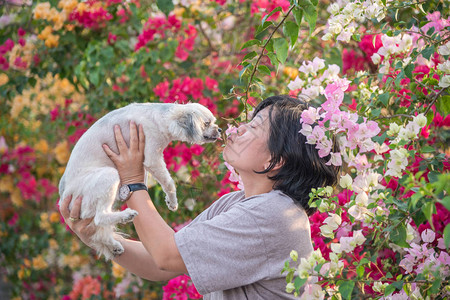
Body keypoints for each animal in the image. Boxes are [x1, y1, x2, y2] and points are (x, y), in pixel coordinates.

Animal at [59, 102, 221, 260]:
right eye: (206, 123)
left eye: (214, 122)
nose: (219, 129)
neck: (162, 118)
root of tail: (63, 198)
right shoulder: (153, 159)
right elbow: (169, 183)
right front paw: (173, 201)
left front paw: (169, 200)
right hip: (108, 175)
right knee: (99, 217)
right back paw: (125, 216)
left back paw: (114, 245)